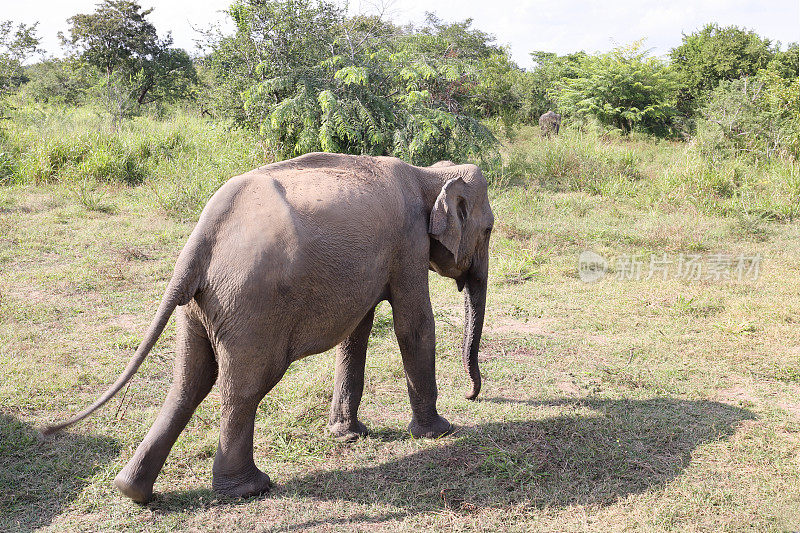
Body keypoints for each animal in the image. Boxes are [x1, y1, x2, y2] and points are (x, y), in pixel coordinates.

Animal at [45, 153, 494, 502]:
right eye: (489, 230)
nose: (472, 395)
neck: (428, 173)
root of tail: (200, 240)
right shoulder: (408, 243)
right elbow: (413, 325)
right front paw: (438, 433)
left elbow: (357, 332)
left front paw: (349, 436)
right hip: (251, 306)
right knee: (244, 388)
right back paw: (250, 489)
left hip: (200, 307)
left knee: (188, 383)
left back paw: (132, 491)